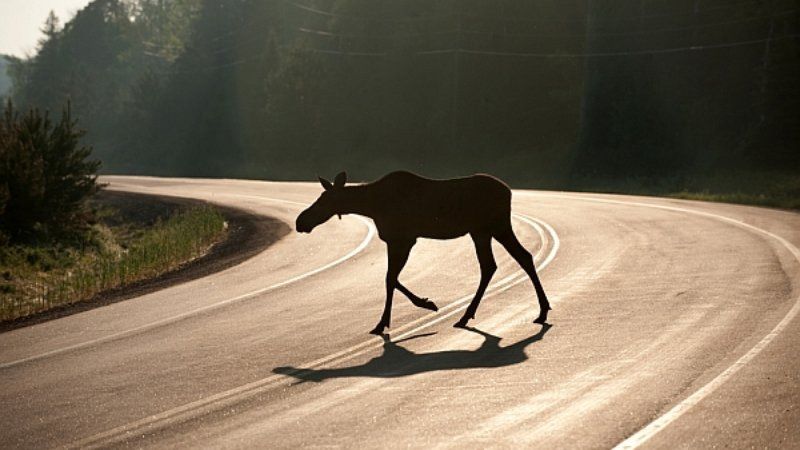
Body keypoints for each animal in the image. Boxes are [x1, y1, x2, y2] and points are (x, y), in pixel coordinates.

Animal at [296, 171, 552, 334]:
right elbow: (391, 279)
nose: (301, 221)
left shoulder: (404, 239)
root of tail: (509, 191)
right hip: (483, 231)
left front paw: (389, 320)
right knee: (506, 261)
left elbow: (390, 279)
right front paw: (420, 306)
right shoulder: (398, 240)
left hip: (494, 226)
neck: (371, 205)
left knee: (508, 260)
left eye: (324, 200)